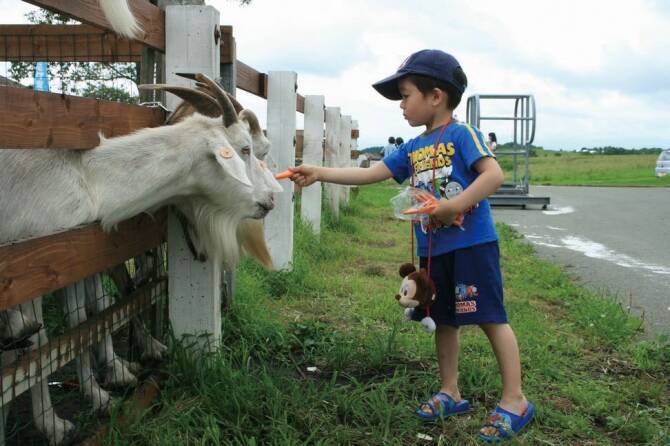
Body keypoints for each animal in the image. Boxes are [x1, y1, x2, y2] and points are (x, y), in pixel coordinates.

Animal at [1, 78, 272, 444]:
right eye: (244, 149)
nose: (269, 200)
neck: (86, 176)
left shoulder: (72, 259)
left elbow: (82, 322)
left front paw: (103, 390)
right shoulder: (32, 270)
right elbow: (40, 344)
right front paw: (55, 425)